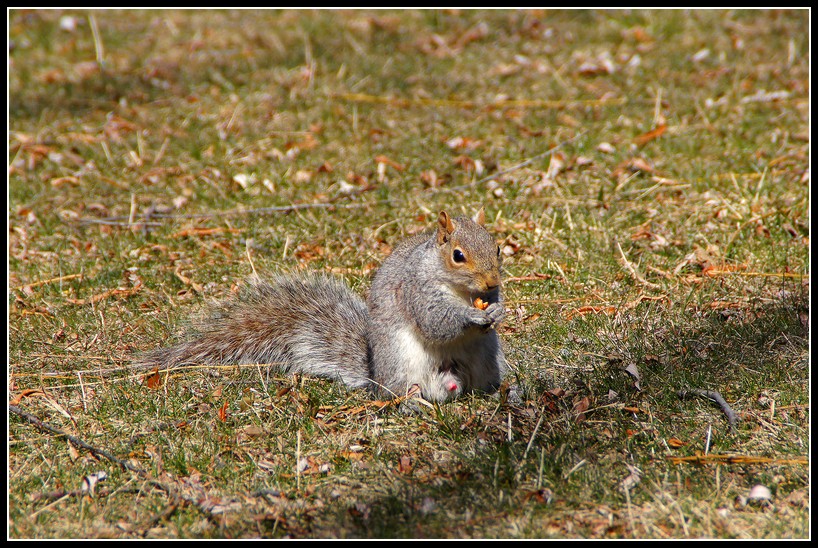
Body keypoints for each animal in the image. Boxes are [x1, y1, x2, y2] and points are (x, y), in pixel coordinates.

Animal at [139, 210, 506, 402]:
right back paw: (412, 404)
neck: (459, 290)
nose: (491, 283)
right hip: (402, 365)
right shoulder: (416, 291)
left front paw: (497, 310)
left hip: (486, 361)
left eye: (498, 248)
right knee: (403, 394)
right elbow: (436, 324)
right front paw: (471, 316)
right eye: (458, 255)